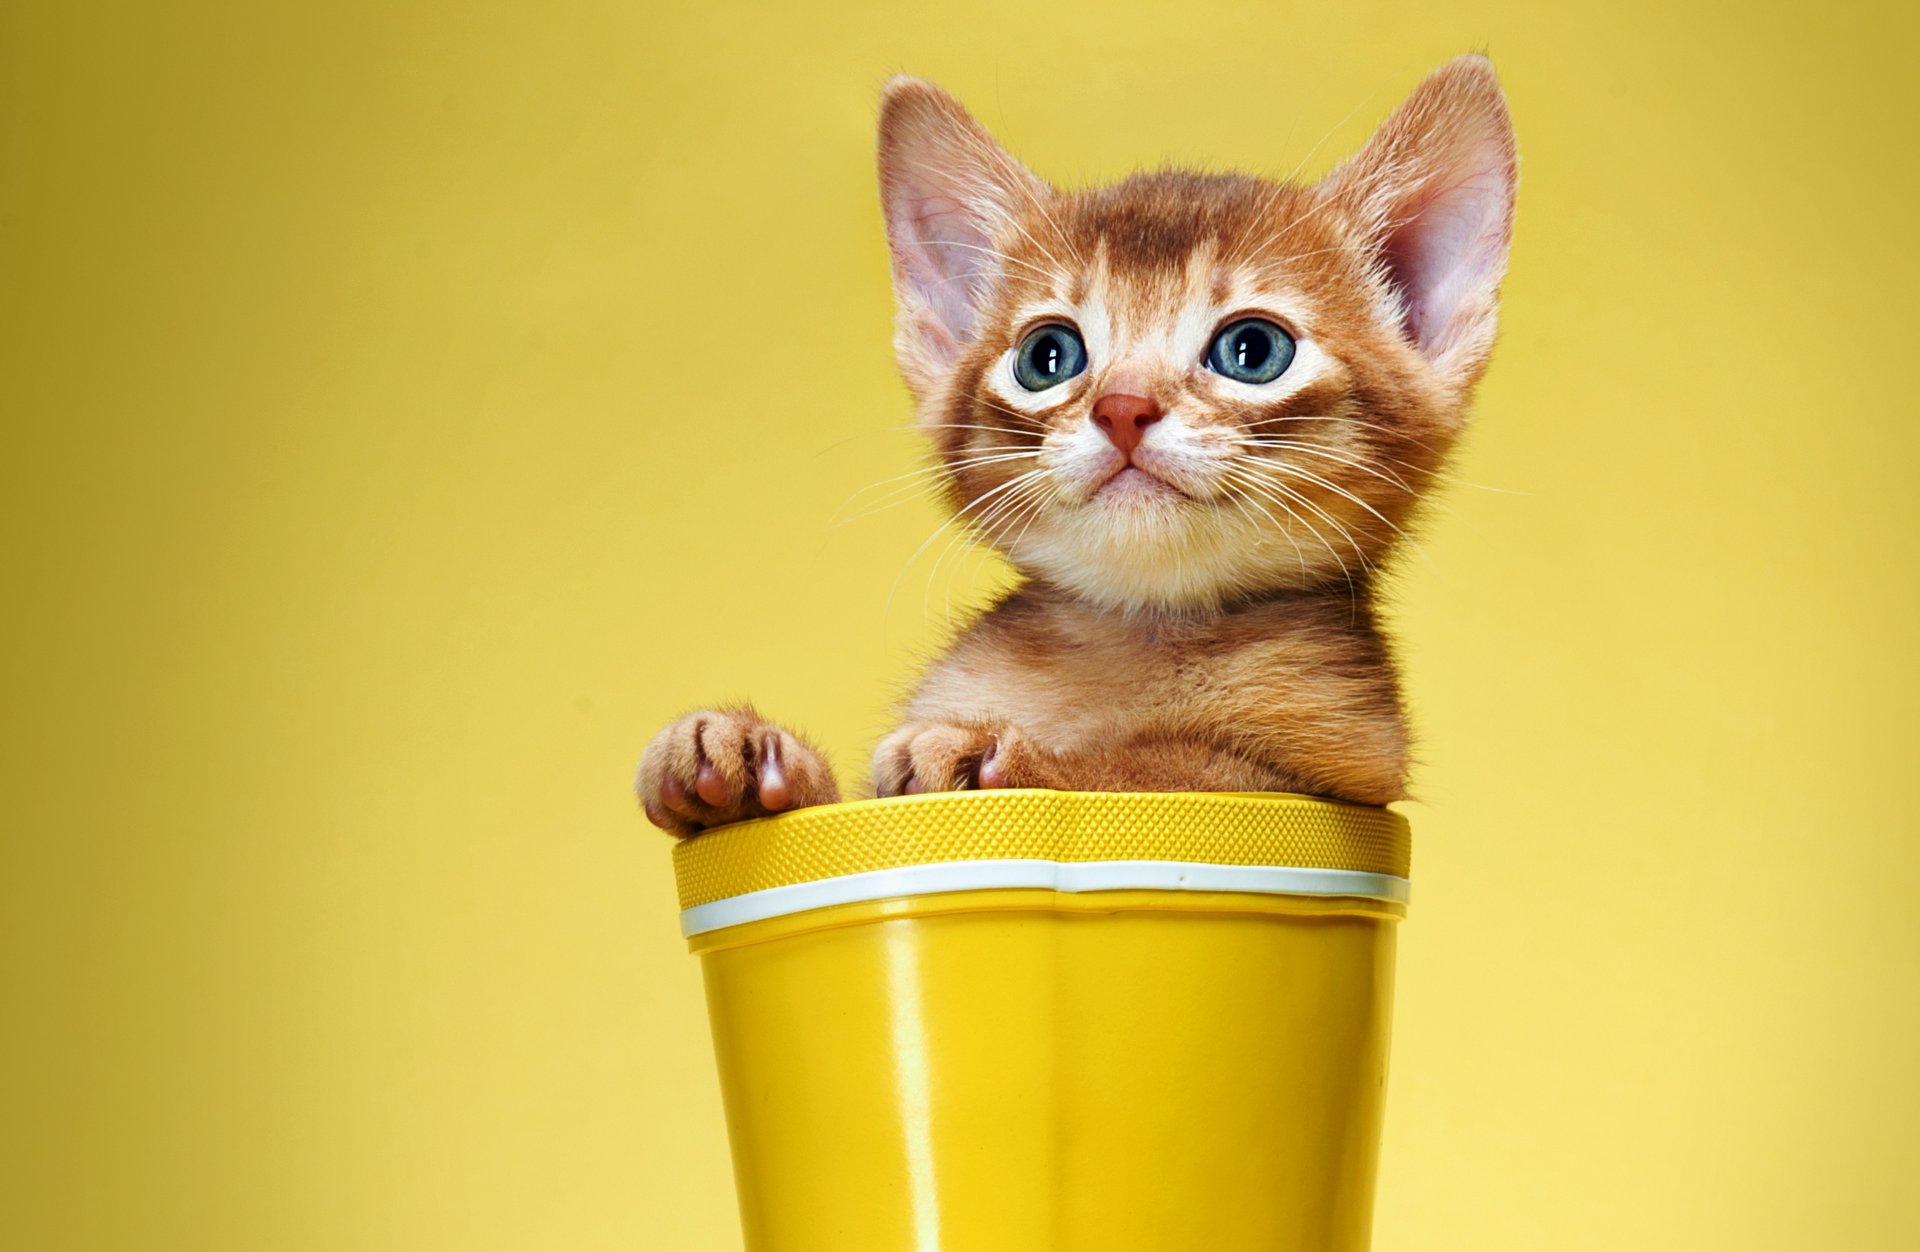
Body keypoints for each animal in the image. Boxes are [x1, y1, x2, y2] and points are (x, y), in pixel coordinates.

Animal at [641, 61, 1512, 841]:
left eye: (1254, 350)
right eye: (1048, 356)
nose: (1123, 409)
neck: (1134, 637)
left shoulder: (1338, 775)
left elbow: (1159, 770)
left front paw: (996, 754)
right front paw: (752, 756)